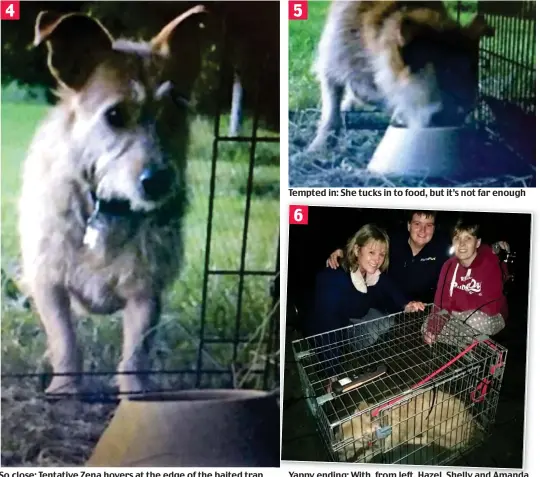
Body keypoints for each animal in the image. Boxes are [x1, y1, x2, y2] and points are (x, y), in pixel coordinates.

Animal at [18, 5, 207, 396]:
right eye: (115, 115)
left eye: (176, 113)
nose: (159, 182)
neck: (107, 208)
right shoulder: (49, 284)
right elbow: (65, 341)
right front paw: (65, 390)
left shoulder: (146, 292)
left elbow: (136, 352)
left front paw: (135, 393)